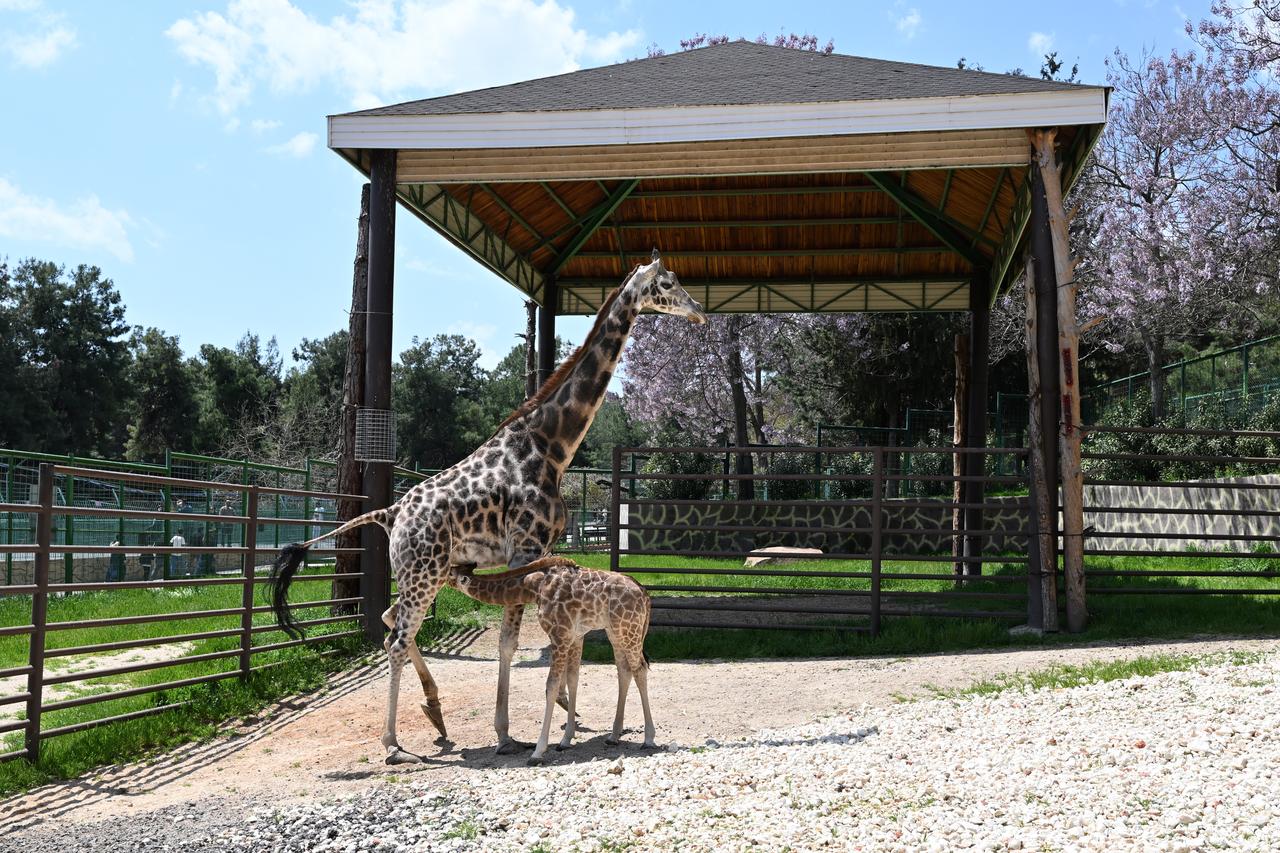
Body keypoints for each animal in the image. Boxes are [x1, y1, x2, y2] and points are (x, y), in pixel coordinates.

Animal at [449, 556, 655, 765]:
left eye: (450, 573)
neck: (534, 586)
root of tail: (644, 594)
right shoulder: (575, 636)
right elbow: (572, 680)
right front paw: (565, 740)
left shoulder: (559, 635)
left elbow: (551, 686)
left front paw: (538, 752)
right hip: (616, 632)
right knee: (624, 670)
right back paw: (613, 736)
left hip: (628, 630)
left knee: (639, 669)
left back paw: (648, 738)